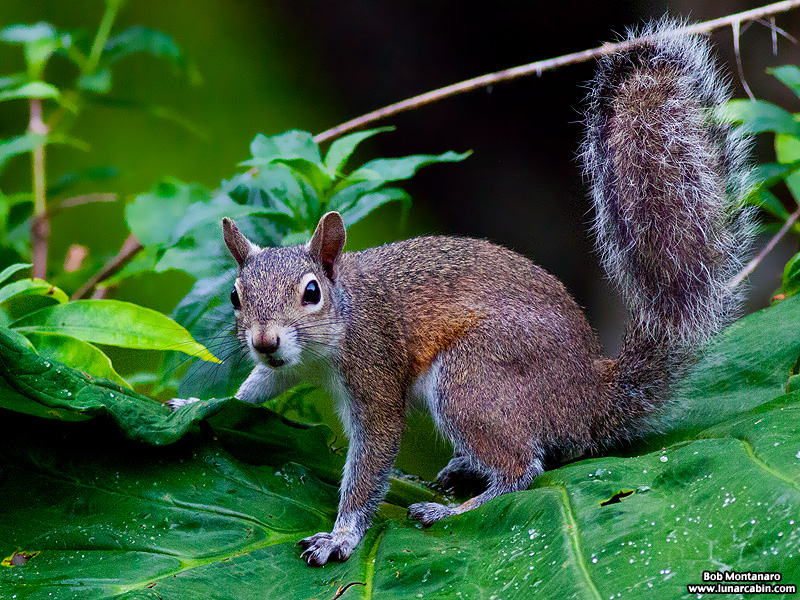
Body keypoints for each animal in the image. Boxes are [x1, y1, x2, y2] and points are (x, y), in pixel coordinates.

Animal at [180, 21, 755, 566]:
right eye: (235, 298)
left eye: (311, 292)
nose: (265, 341)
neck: (340, 323)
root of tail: (591, 397)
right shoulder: (289, 367)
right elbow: (258, 387)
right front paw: (193, 403)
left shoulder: (374, 369)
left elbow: (373, 457)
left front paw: (341, 537)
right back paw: (461, 472)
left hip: (474, 376)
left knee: (523, 467)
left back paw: (454, 508)